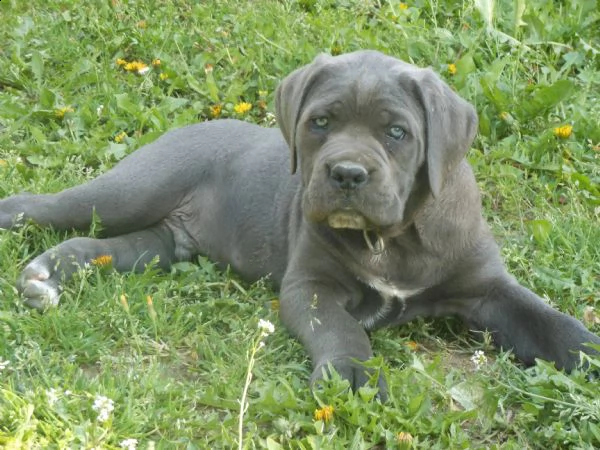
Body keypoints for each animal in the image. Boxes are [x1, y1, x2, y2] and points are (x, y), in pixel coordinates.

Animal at [2, 51, 596, 400]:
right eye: (321, 122)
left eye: (397, 132)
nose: (347, 173)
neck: (390, 239)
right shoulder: (311, 286)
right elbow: (342, 329)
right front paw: (353, 376)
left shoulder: (488, 289)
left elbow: (550, 322)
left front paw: (588, 352)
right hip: (131, 190)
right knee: (50, 206)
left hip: (161, 245)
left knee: (103, 245)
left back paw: (48, 276)